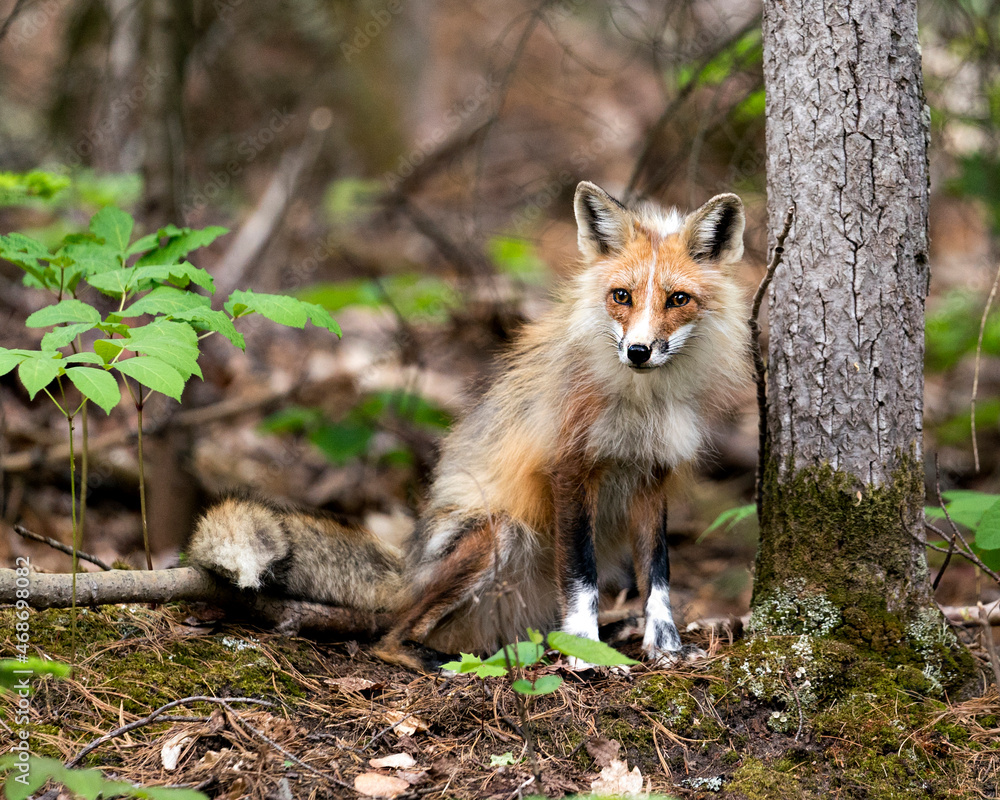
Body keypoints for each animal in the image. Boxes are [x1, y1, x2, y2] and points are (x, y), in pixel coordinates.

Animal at [188, 181, 752, 671]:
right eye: (622, 296)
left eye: (677, 299)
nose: (638, 351)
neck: (641, 406)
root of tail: (410, 568)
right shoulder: (569, 469)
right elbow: (582, 578)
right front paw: (585, 654)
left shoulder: (653, 476)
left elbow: (659, 577)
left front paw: (666, 648)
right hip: (498, 533)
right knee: (389, 634)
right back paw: (443, 663)